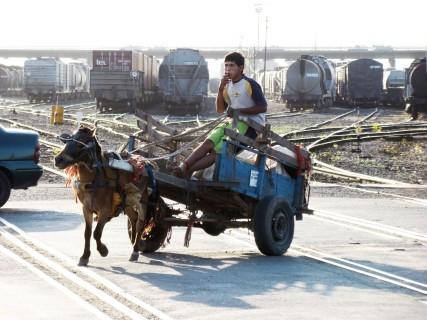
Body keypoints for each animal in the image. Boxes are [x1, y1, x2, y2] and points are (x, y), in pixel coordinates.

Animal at [55, 126, 149, 266]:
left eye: (80, 144)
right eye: (67, 141)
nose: (58, 159)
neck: (95, 180)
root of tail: (145, 162)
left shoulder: (105, 210)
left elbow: (97, 233)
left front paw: (103, 250)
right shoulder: (86, 209)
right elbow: (87, 233)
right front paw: (85, 256)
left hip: (142, 201)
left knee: (140, 224)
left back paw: (135, 250)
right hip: (127, 202)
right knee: (134, 218)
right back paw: (133, 242)